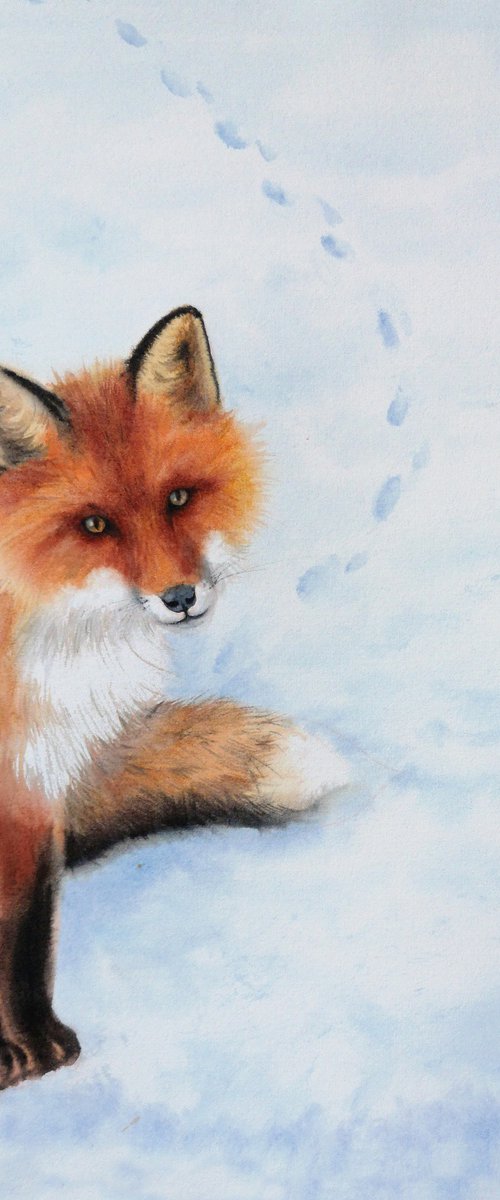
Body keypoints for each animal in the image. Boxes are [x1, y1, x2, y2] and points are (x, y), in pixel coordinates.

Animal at [0, 305, 349, 1091]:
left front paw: (36, 1049)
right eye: (95, 524)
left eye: (178, 499)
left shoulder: (32, 788)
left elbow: (25, 936)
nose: (181, 598)